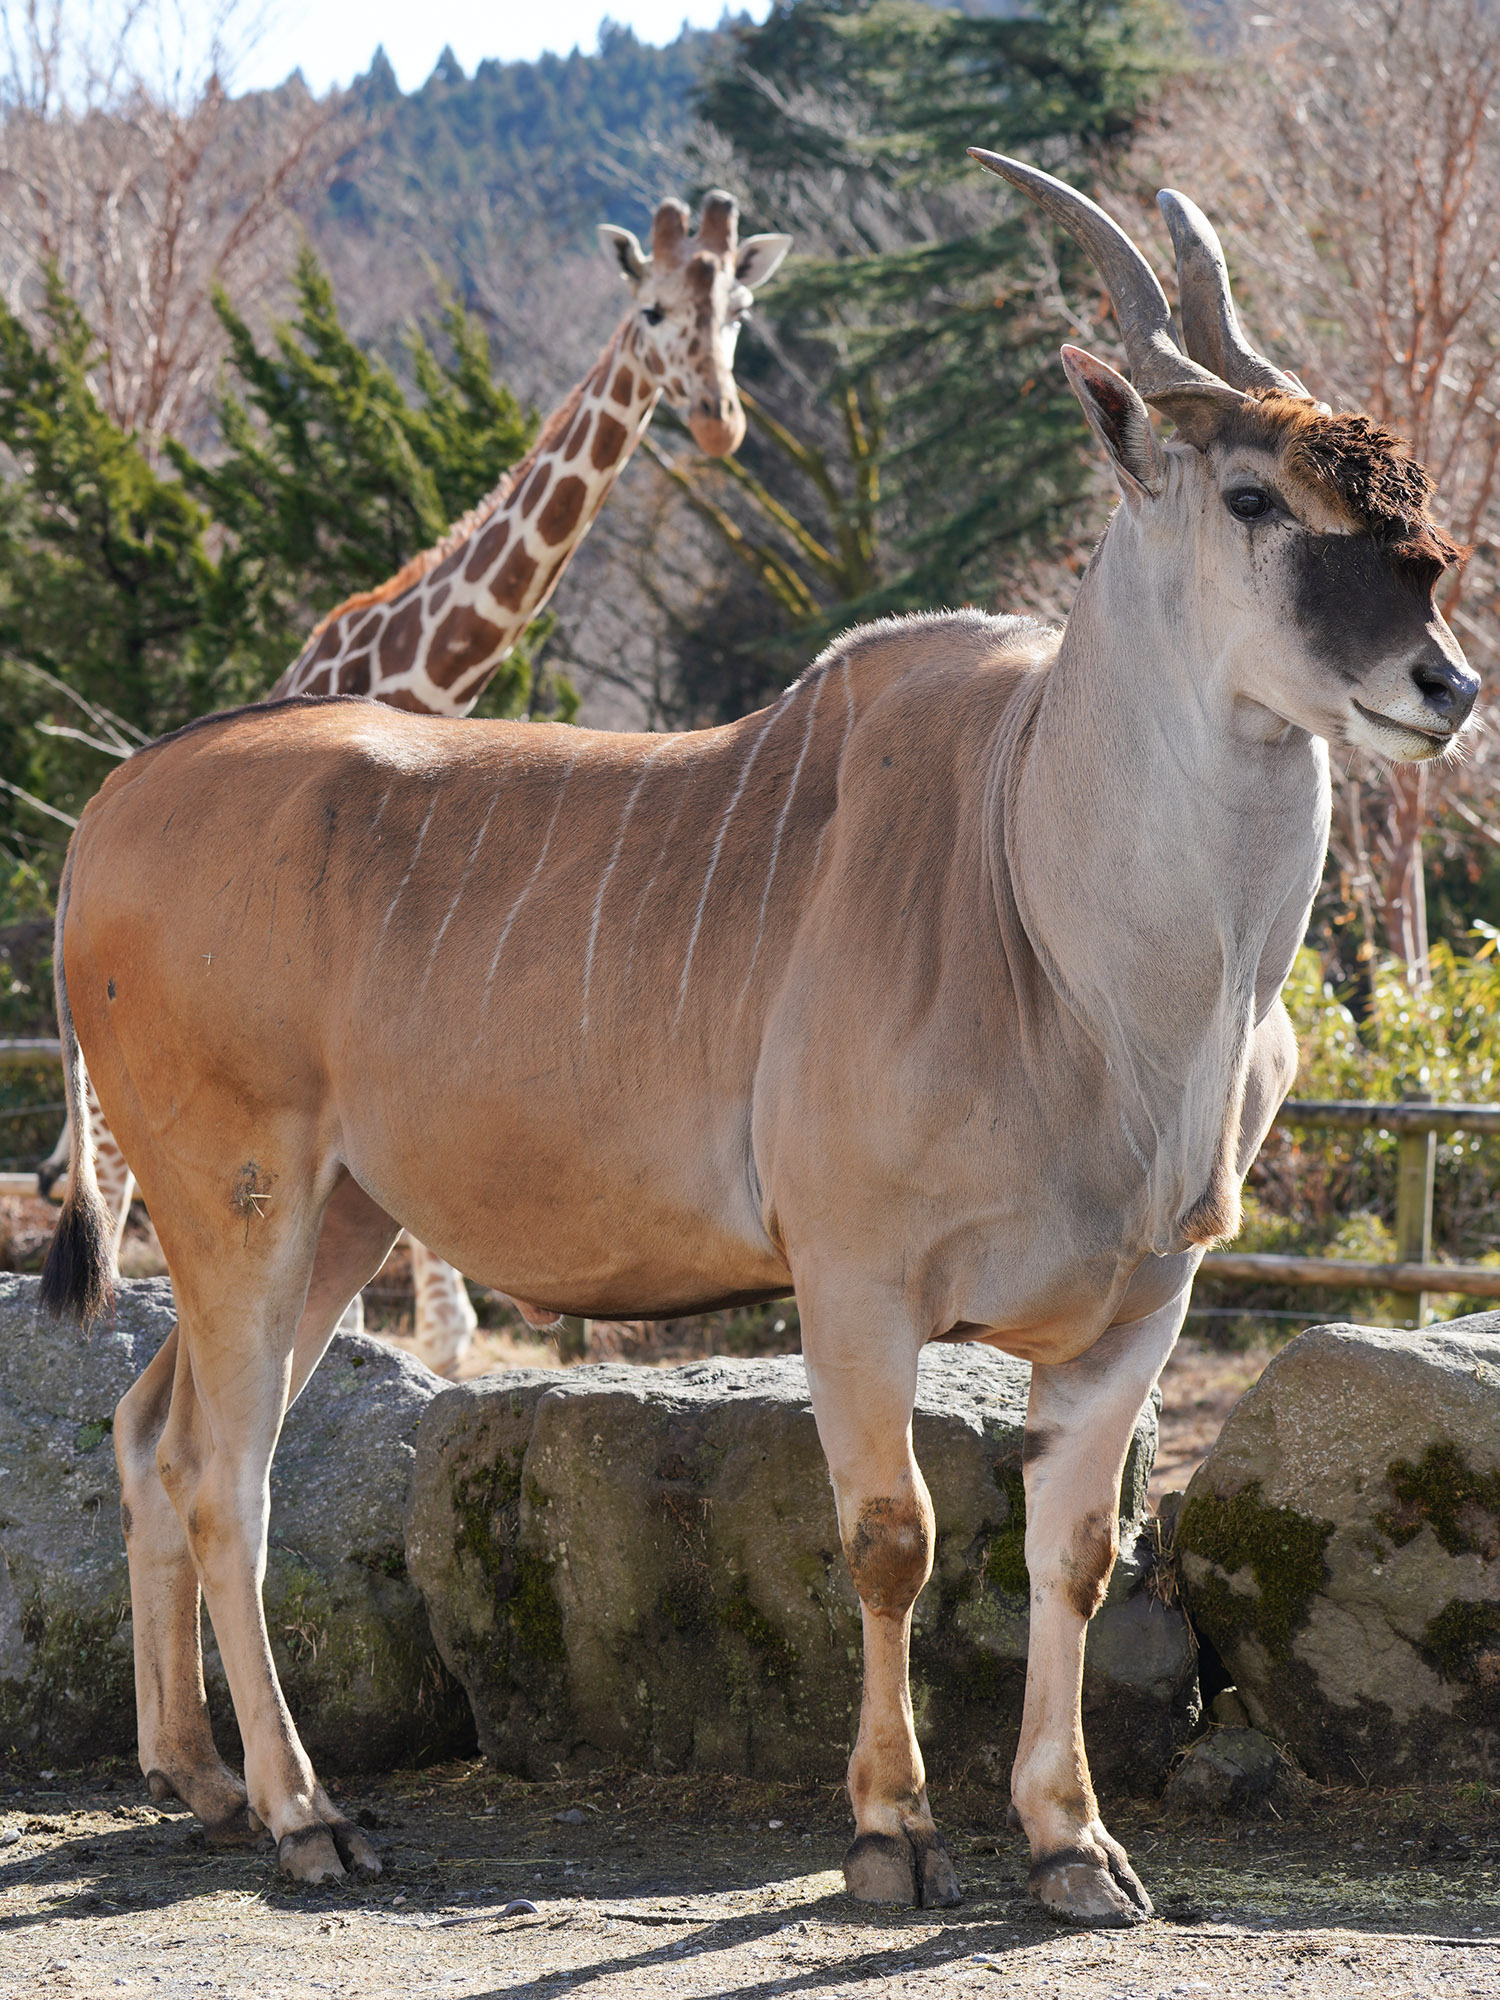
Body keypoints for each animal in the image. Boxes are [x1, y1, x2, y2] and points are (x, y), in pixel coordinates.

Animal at [44, 188, 800, 1376]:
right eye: (649, 308)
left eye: (741, 309)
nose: (720, 420)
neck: (423, 674)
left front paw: (437, 1342)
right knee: (116, 1170)